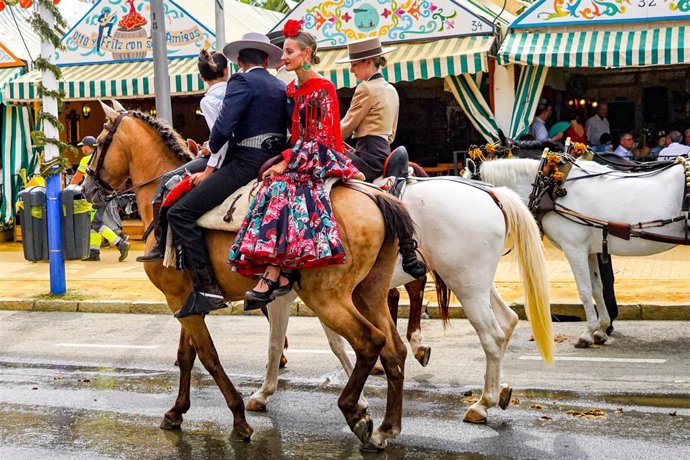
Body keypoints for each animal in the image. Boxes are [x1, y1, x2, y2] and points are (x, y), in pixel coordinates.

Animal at [82, 100, 422, 450]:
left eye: (97, 145)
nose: (86, 189)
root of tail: (375, 195)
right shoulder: (186, 300)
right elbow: (187, 355)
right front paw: (177, 411)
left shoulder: (179, 300)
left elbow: (208, 356)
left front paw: (239, 419)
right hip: (368, 292)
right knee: (393, 349)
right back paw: (387, 426)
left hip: (328, 298)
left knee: (370, 342)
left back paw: (355, 411)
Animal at [250, 178, 552, 426]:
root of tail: (491, 193)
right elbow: (333, 340)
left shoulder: (306, 293)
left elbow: (280, 339)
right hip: (477, 284)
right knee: (508, 321)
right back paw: (499, 391)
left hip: (465, 284)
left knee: (491, 335)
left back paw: (481, 404)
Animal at [472, 156, 688, 346]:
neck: (550, 188)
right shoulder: (589, 250)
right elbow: (597, 288)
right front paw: (601, 329)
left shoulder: (573, 248)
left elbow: (584, 291)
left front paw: (587, 333)